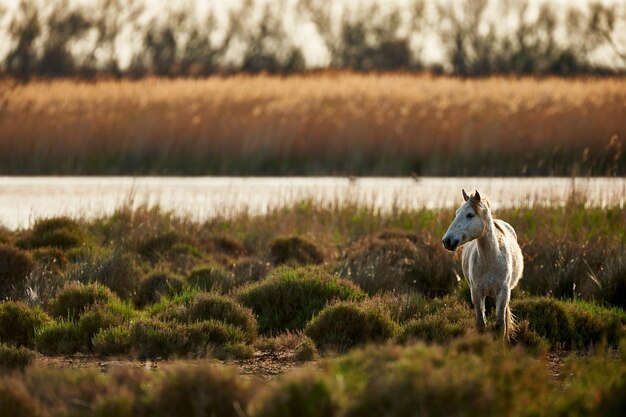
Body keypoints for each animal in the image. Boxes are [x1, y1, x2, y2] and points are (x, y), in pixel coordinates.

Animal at [442, 190, 524, 340]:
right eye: (457, 213)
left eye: (469, 214)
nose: (447, 241)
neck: (491, 260)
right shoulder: (476, 292)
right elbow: (481, 324)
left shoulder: (503, 291)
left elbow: (500, 325)